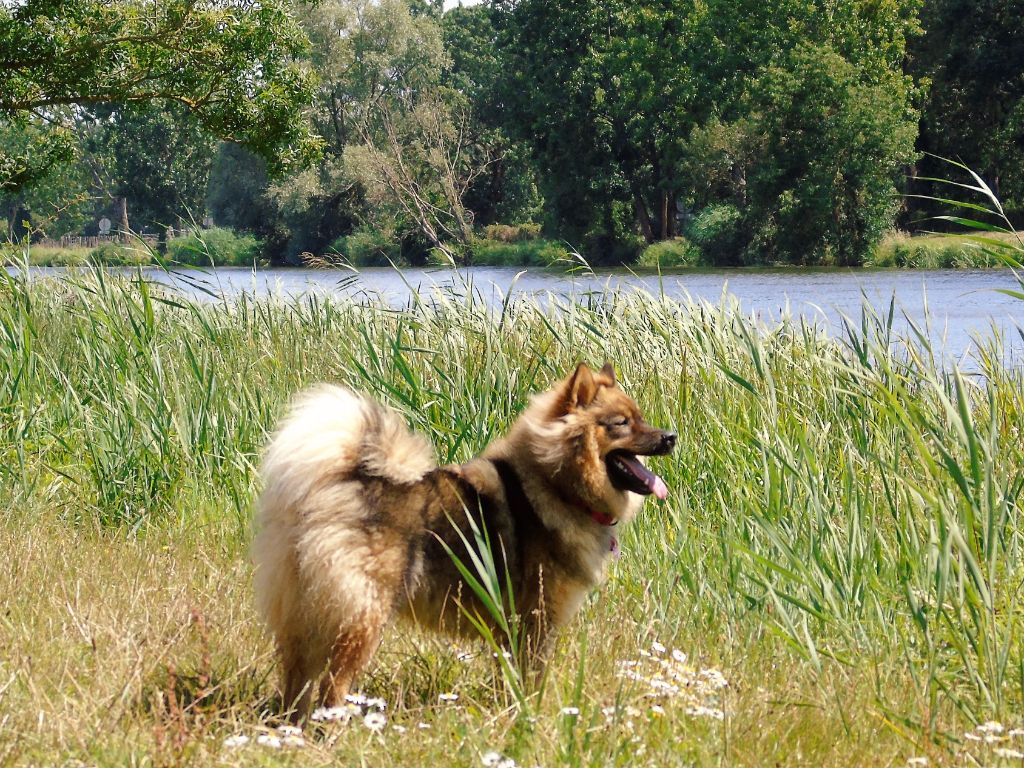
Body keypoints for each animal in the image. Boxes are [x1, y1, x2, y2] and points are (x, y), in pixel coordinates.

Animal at [251, 364, 675, 720]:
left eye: (641, 417)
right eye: (621, 423)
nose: (670, 437)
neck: (558, 484)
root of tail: (335, 485)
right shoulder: (536, 620)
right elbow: (531, 679)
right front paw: (530, 715)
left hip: (305, 614)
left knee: (296, 678)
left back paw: (292, 726)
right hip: (362, 616)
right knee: (332, 684)